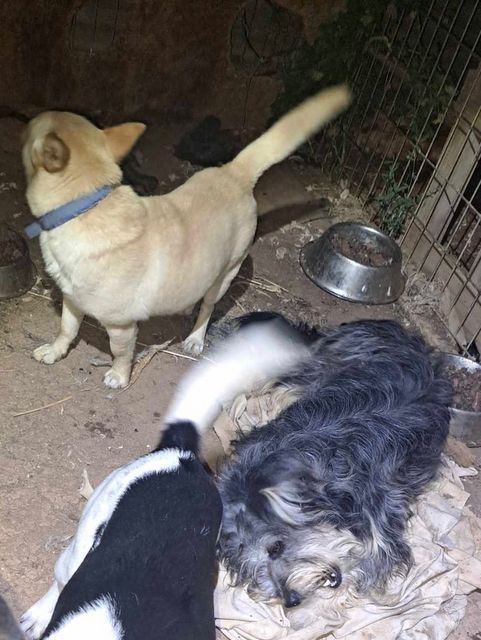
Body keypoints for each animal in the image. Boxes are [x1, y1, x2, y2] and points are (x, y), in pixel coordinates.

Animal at [21, 86, 351, 388]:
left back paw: (195, 337)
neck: (86, 205)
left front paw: (119, 376)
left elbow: (120, 353)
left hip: (226, 275)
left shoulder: (121, 326)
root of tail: (235, 171)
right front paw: (54, 351)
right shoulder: (72, 300)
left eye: (28, 132)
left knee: (208, 308)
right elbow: (66, 329)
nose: (25, 117)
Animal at [217, 315, 452, 617]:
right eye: (248, 564)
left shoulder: (383, 523)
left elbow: (369, 565)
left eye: (276, 547)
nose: (290, 600)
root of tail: (389, 325)